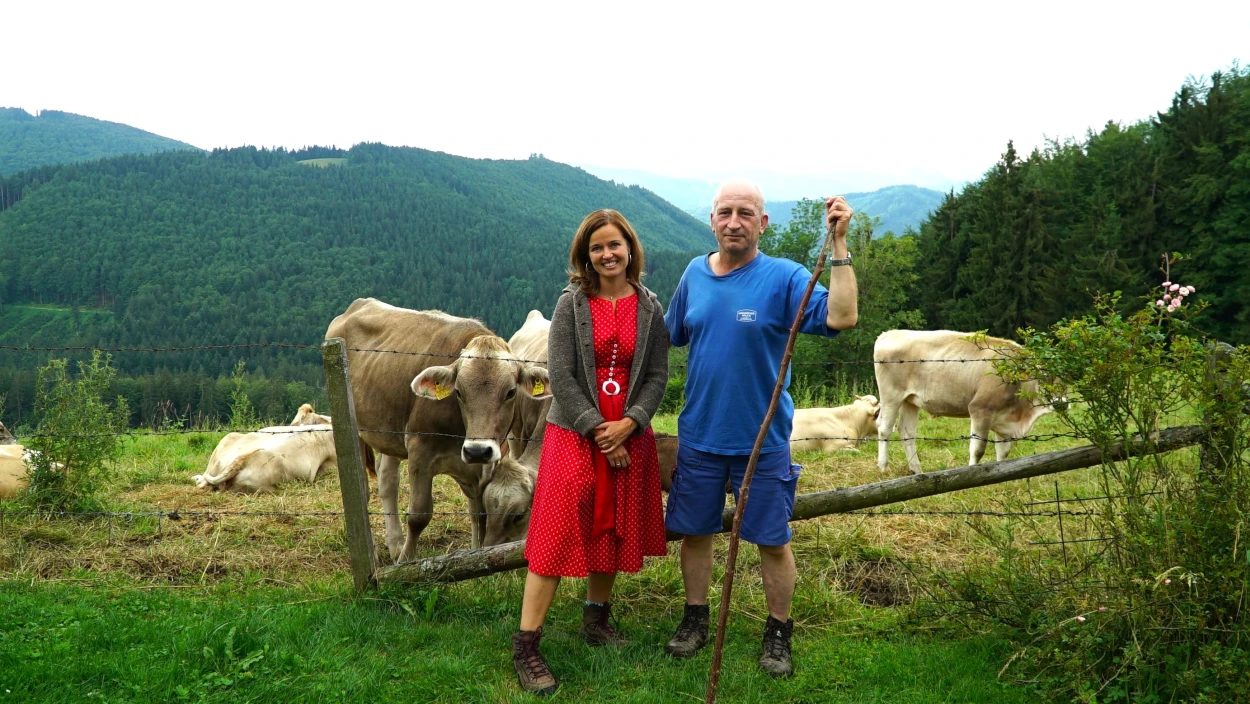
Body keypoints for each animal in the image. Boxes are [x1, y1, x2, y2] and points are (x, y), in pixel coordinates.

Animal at [325, 297, 550, 562]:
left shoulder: (485, 464)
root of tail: (360, 303)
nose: (477, 450)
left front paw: (477, 555)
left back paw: (395, 544)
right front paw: (406, 562)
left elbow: (478, 514)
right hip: (355, 429)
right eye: (459, 392)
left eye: (511, 392)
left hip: (389, 435)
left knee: (387, 480)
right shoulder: (420, 450)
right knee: (363, 490)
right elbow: (419, 516)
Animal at [870, 330, 1065, 472]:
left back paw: (916, 470)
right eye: (1044, 377)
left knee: (907, 431)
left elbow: (1004, 452)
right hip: (891, 395)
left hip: (910, 400)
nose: (1062, 402)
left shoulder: (1005, 420)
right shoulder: (980, 409)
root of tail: (890, 333)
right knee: (885, 428)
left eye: (1066, 381)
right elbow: (978, 449)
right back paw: (884, 468)